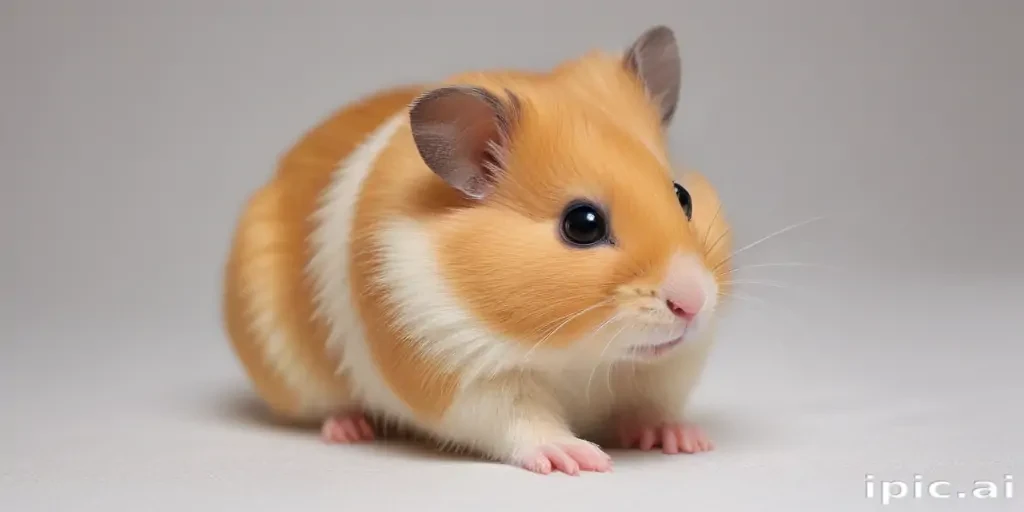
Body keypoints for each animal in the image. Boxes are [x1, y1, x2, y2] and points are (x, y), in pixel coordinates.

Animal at [222, 25, 733, 475]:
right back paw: (349, 428)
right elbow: (524, 422)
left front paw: (688, 441)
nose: (693, 303)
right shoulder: (460, 373)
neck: (582, 357)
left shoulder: (667, 369)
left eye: (683, 196)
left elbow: (651, 408)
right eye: (582, 225)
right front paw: (578, 459)